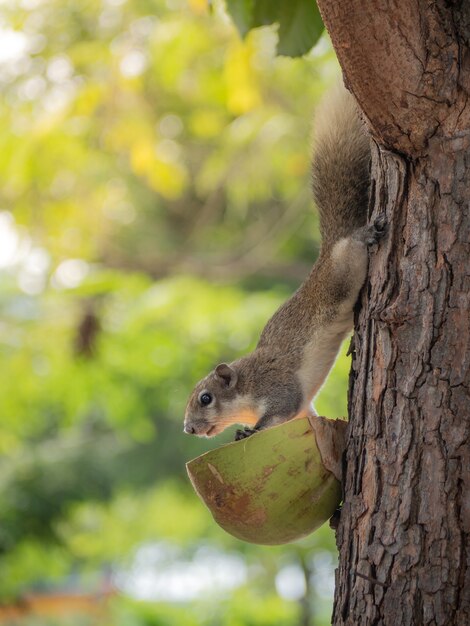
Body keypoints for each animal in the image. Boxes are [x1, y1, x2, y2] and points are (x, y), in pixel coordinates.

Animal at [184, 84, 386, 438]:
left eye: (206, 398)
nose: (188, 429)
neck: (247, 388)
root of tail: (330, 247)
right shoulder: (302, 407)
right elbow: (306, 413)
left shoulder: (277, 387)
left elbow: (281, 410)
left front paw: (249, 432)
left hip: (343, 271)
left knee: (352, 249)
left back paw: (365, 235)